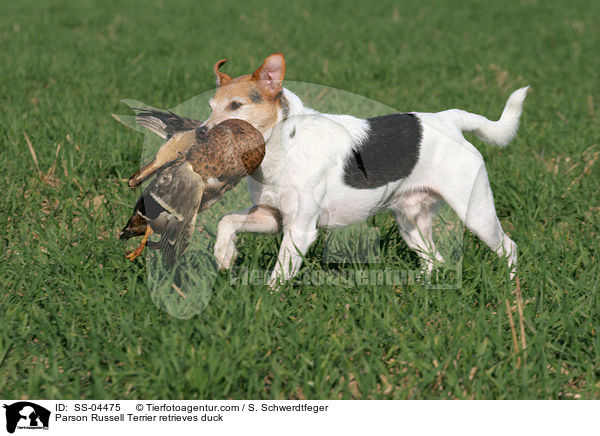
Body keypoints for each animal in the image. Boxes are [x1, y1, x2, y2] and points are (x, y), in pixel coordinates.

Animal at [203, 53, 528, 286]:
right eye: (211, 106)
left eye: (236, 105)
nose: (202, 133)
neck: (283, 146)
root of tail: (449, 119)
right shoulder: (271, 217)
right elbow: (226, 220)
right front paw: (225, 255)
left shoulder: (299, 230)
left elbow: (278, 275)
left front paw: (267, 304)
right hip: (411, 220)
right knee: (434, 259)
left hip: (477, 215)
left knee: (509, 248)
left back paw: (511, 289)